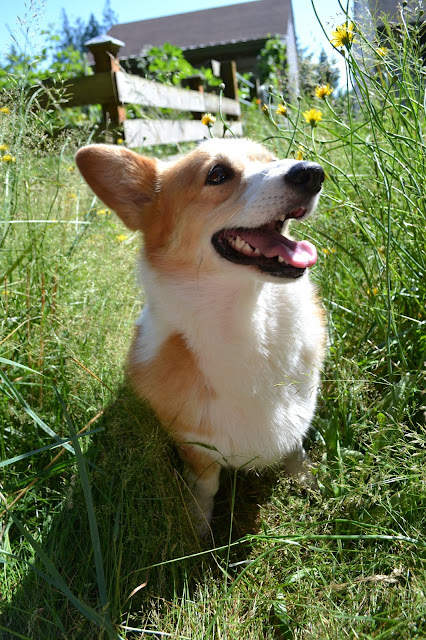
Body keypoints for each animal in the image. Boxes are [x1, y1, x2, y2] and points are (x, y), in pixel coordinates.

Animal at [75, 139, 326, 536]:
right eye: (217, 174)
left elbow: (296, 451)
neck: (249, 321)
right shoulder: (195, 446)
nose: (313, 172)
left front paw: (308, 485)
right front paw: (199, 530)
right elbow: (207, 487)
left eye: (272, 159)